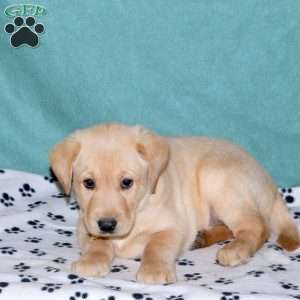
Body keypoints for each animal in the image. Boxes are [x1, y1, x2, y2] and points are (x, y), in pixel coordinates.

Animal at [50, 122, 298, 284]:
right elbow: (97, 243)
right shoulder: (85, 224)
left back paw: (236, 249)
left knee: (257, 226)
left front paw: (154, 270)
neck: (140, 209)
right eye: (88, 183)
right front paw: (92, 259)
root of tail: (270, 183)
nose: (107, 225)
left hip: (219, 180)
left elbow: (157, 246)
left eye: (127, 182)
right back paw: (202, 237)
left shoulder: (174, 227)